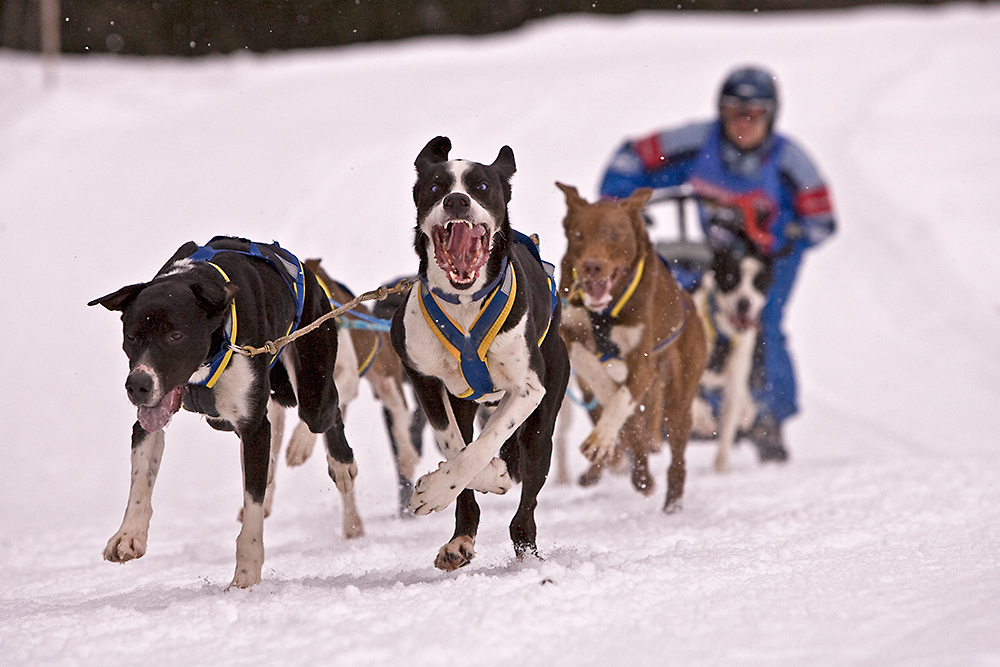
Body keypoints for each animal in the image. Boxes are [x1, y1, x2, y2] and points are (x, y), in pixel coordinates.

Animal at [89, 236, 356, 588]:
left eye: (175, 336)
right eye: (132, 336)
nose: (138, 385)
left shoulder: (254, 427)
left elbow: (252, 509)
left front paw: (246, 575)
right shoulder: (149, 419)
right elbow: (141, 477)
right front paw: (129, 534)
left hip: (314, 386)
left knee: (329, 411)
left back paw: (340, 464)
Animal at [390, 137, 572, 576]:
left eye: (482, 186)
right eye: (436, 186)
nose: (456, 200)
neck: (465, 304)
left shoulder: (528, 389)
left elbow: (485, 444)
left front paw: (439, 489)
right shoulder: (422, 375)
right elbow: (455, 445)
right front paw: (483, 478)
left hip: (542, 426)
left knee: (525, 511)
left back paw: (528, 555)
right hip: (465, 402)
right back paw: (460, 541)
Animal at [556, 183, 704, 512]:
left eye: (615, 235)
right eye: (579, 234)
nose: (592, 266)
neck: (605, 313)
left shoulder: (642, 362)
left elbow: (622, 398)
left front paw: (602, 438)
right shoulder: (566, 330)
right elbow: (592, 368)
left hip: (679, 399)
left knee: (677, 457)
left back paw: (671, 503)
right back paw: (640, 476)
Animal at [696, 230, 772, 474]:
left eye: (759, 282)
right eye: (731, 279)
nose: (744, 302)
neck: (723, 335)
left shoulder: (735, 380)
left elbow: (727, 429)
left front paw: (721, 468)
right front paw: (702, 419)